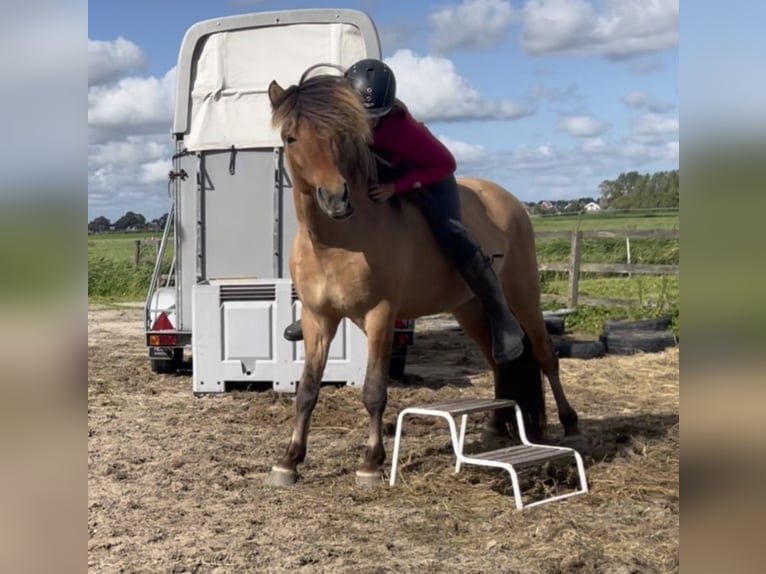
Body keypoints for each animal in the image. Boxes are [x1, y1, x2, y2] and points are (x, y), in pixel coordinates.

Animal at [268, 71, 584, 486]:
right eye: (291, 137)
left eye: (340, 135)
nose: (337, 199)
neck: (338, 240)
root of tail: (507, 199)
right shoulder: (317, 319)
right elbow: (306, 389)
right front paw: (289, 460)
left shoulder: (381, 315)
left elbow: (374, 390)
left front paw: (371, 462)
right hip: (469, 308)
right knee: (498, 361)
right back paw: (495, 427)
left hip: (523, 294)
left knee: (546, 355)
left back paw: (571, 424)